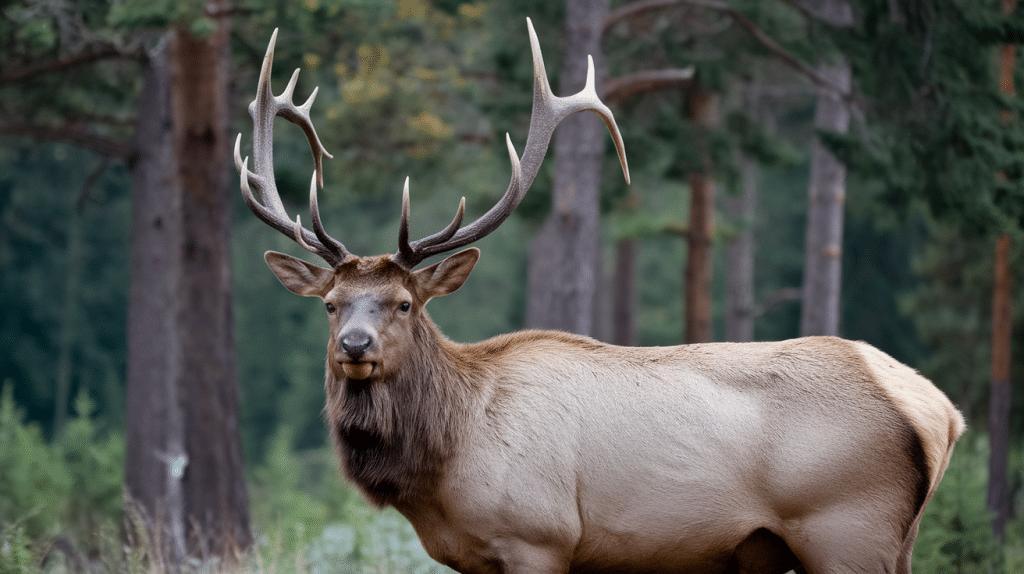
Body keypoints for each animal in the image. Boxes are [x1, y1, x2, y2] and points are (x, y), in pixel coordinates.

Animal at [235, 20, 965, 574]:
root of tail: (942, 412)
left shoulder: (538, 538)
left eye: (406, 304)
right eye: (331, 304)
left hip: (848, 527)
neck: (446, 462)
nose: (354, 346)